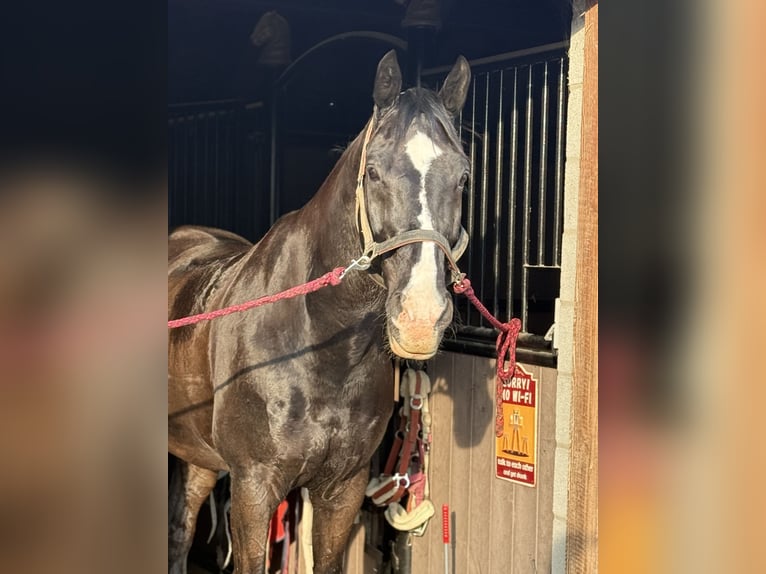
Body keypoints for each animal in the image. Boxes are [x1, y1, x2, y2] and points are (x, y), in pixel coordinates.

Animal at [168, 50, 471, 574]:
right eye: (374, 173)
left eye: (463, 177)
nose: (419, 318)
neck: (319, 344)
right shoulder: (253, 489)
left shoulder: (341, 489)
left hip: (200, 457)